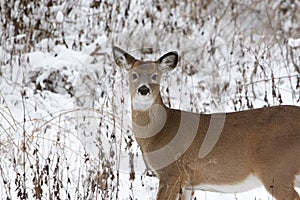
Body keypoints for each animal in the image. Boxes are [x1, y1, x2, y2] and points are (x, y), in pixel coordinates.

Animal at [112, 46, 300, 199]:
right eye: (134, 75)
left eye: (155, 76)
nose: (143, 89)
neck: (158, 134)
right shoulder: (188, 183)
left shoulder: (172, 173)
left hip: (276, 168)